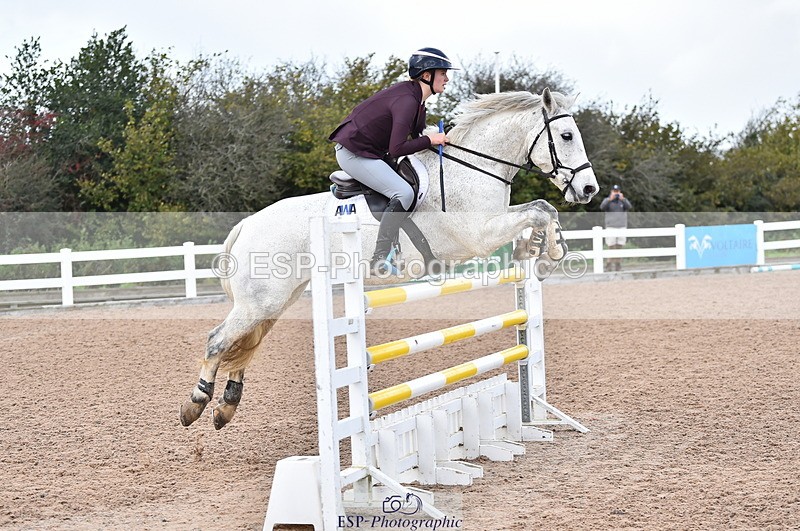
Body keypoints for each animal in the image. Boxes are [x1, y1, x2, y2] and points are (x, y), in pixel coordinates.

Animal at [179, 87, 599, 429]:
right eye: (566, 136)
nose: (588, 189)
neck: (472, 170)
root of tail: (247, 224)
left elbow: (543, 208)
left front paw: (541, 252)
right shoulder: (479, 234)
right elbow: (540, 210)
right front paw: (546, 254)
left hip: (274, 300)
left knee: (243, 346)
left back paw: (225, 408)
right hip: (261, 300)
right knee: (218, 341)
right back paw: (195, 404)